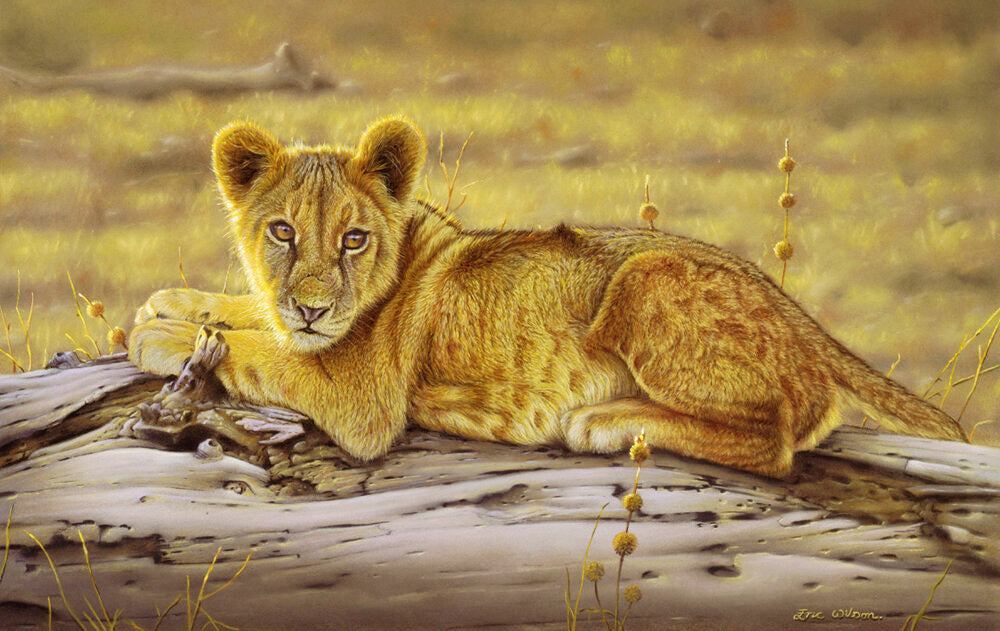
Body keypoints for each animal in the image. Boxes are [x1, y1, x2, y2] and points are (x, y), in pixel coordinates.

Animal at [129, 116, 966, 477]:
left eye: (353, 239)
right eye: (282, 231)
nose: (309, 305)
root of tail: (804, 320)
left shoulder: (365, 401)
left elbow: (262, 352)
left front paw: (158, 333)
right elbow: (245, 315)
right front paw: (165, 302)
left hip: (644, 279)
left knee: (778, 438)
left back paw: (608, 420)